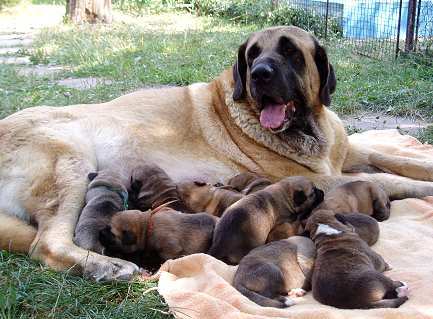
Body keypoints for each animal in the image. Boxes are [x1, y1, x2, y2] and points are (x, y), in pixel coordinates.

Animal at [0, 26, 432, 282]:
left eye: (291, 53)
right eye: (252, 54)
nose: (259, 74)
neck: (310, 127)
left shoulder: (349, 150)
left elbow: (395, 158)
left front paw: (422, 165)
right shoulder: (316, 176)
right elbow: (385, 179)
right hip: (68, 164)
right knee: (47, 244)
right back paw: (109, 266)